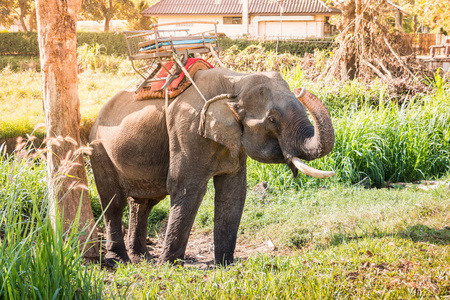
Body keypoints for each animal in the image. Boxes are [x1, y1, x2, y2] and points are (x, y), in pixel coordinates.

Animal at [89, 67, 334, 266]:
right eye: (272, 119)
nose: (301, 89)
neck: (236, 83)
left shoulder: (235, 140)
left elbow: (233, 191)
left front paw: (225, 263)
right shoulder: (187, 130)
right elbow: (186, 187)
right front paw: (169, 265)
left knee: (143, 202)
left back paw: (142, 257)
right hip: (99, 150)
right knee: (114, 202)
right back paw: (120, 261)